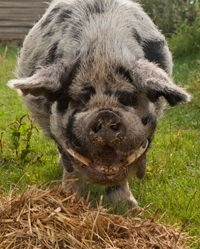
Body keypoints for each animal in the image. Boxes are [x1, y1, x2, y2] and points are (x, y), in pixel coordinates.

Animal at [7, 0, 191, 206]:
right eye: (77, 99)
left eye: (129, 98)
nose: (105, 115)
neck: (102, 51)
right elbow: (71, 166)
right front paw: (71, 200)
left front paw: (129, 207)